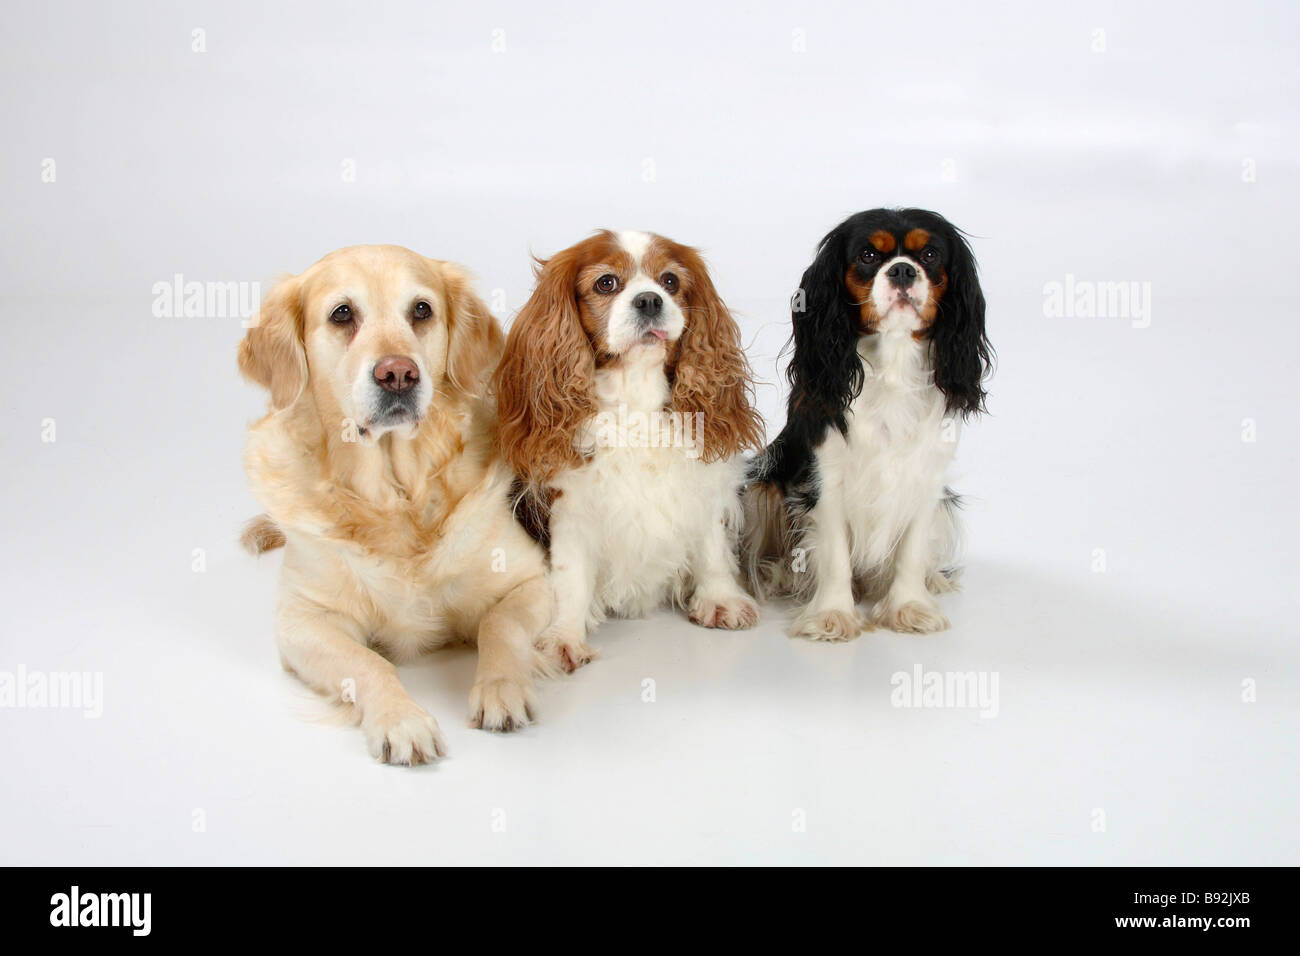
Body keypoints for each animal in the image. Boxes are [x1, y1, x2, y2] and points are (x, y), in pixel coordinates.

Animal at [239, 244, 553, 764]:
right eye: (342, 314)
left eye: (421, 310)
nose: (398, 374)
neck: (396, 495)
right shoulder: (302, 619)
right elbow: (366, 663)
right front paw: (401, 719)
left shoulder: (532, 579)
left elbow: (499, 625)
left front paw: (500, 688)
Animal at [493, 230, 759, 671]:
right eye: (606, 283)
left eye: (670, 281)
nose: (650, 300)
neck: (636, 395)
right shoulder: (570, 502)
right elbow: (570, 575)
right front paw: (564, 636)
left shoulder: (698, 485)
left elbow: (712, 546)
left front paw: (720, 599)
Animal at [748, 210, 987, 642]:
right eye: (868, 255)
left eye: (930, 255)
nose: (903, 270)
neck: (893, 361)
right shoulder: (826, 478)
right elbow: (835, 555)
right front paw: (832, 615)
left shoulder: (926, 479)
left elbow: (911, 551)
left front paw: (909, 607)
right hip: (763, 487)